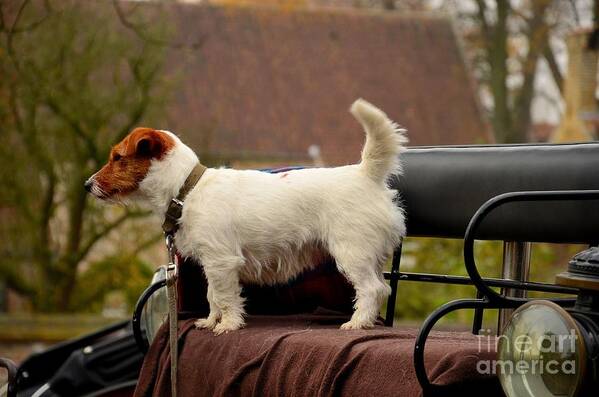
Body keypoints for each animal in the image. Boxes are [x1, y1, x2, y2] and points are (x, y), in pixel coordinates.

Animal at [85, 100, 408, 334]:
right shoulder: (213, 264)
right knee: (383, 287)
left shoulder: (221, 261)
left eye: (117, 157)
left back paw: (357, 322)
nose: (87, 185)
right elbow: (212, 295)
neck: (187, 189)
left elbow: (225, 297)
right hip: (370, 256)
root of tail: (366, 173)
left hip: (352, 253)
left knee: (372, 289)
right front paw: (211, 321)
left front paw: (227, 325)